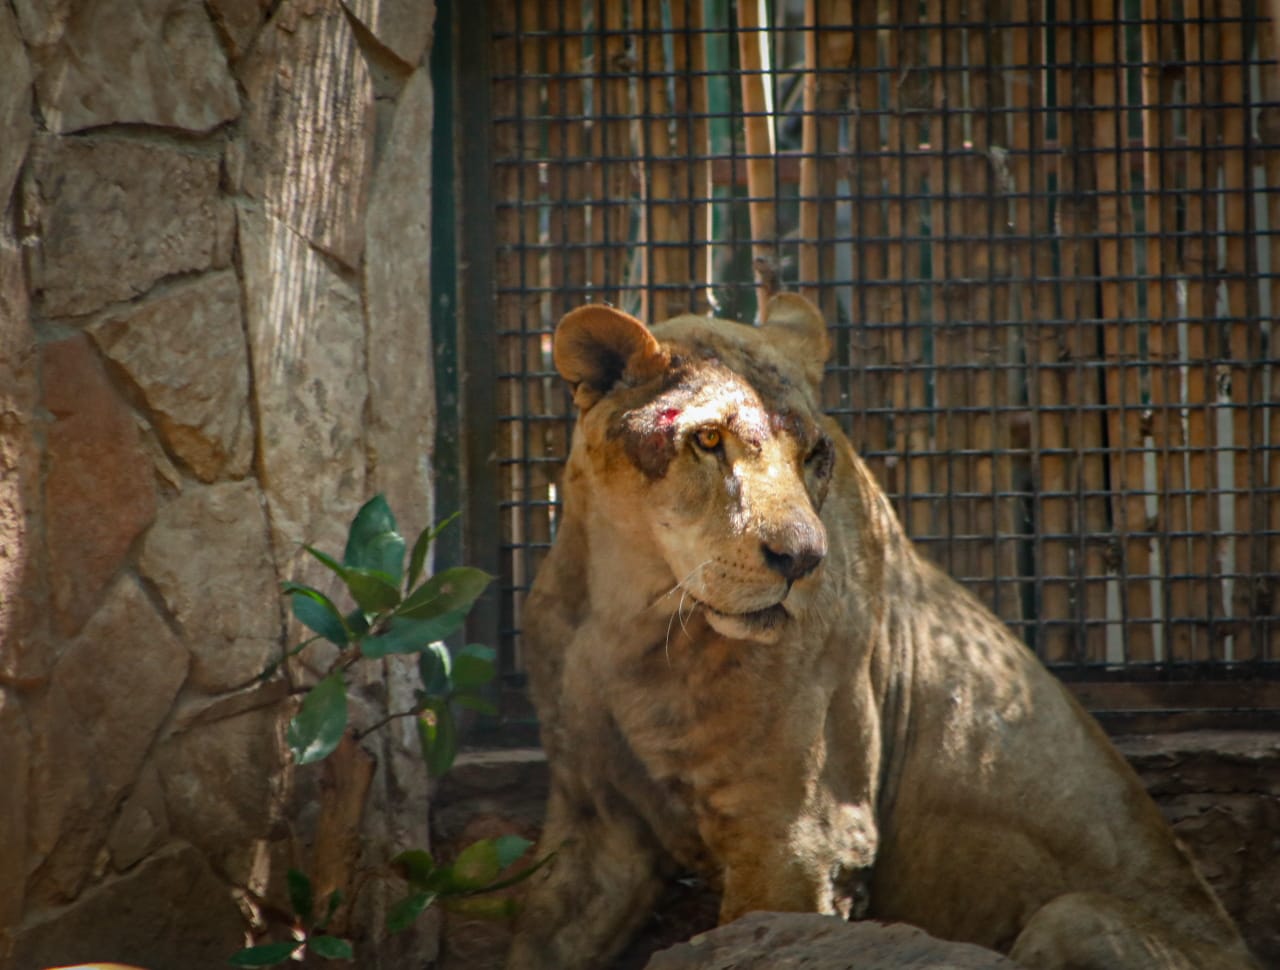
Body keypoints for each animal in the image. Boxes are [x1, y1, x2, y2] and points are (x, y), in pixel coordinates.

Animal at [505, 292, 1259, 970]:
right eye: (709, 440)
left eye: (813, 455)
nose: (803, 559)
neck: (628, 611)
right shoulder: (595, 828)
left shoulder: (800, 835)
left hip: (1069, 915)